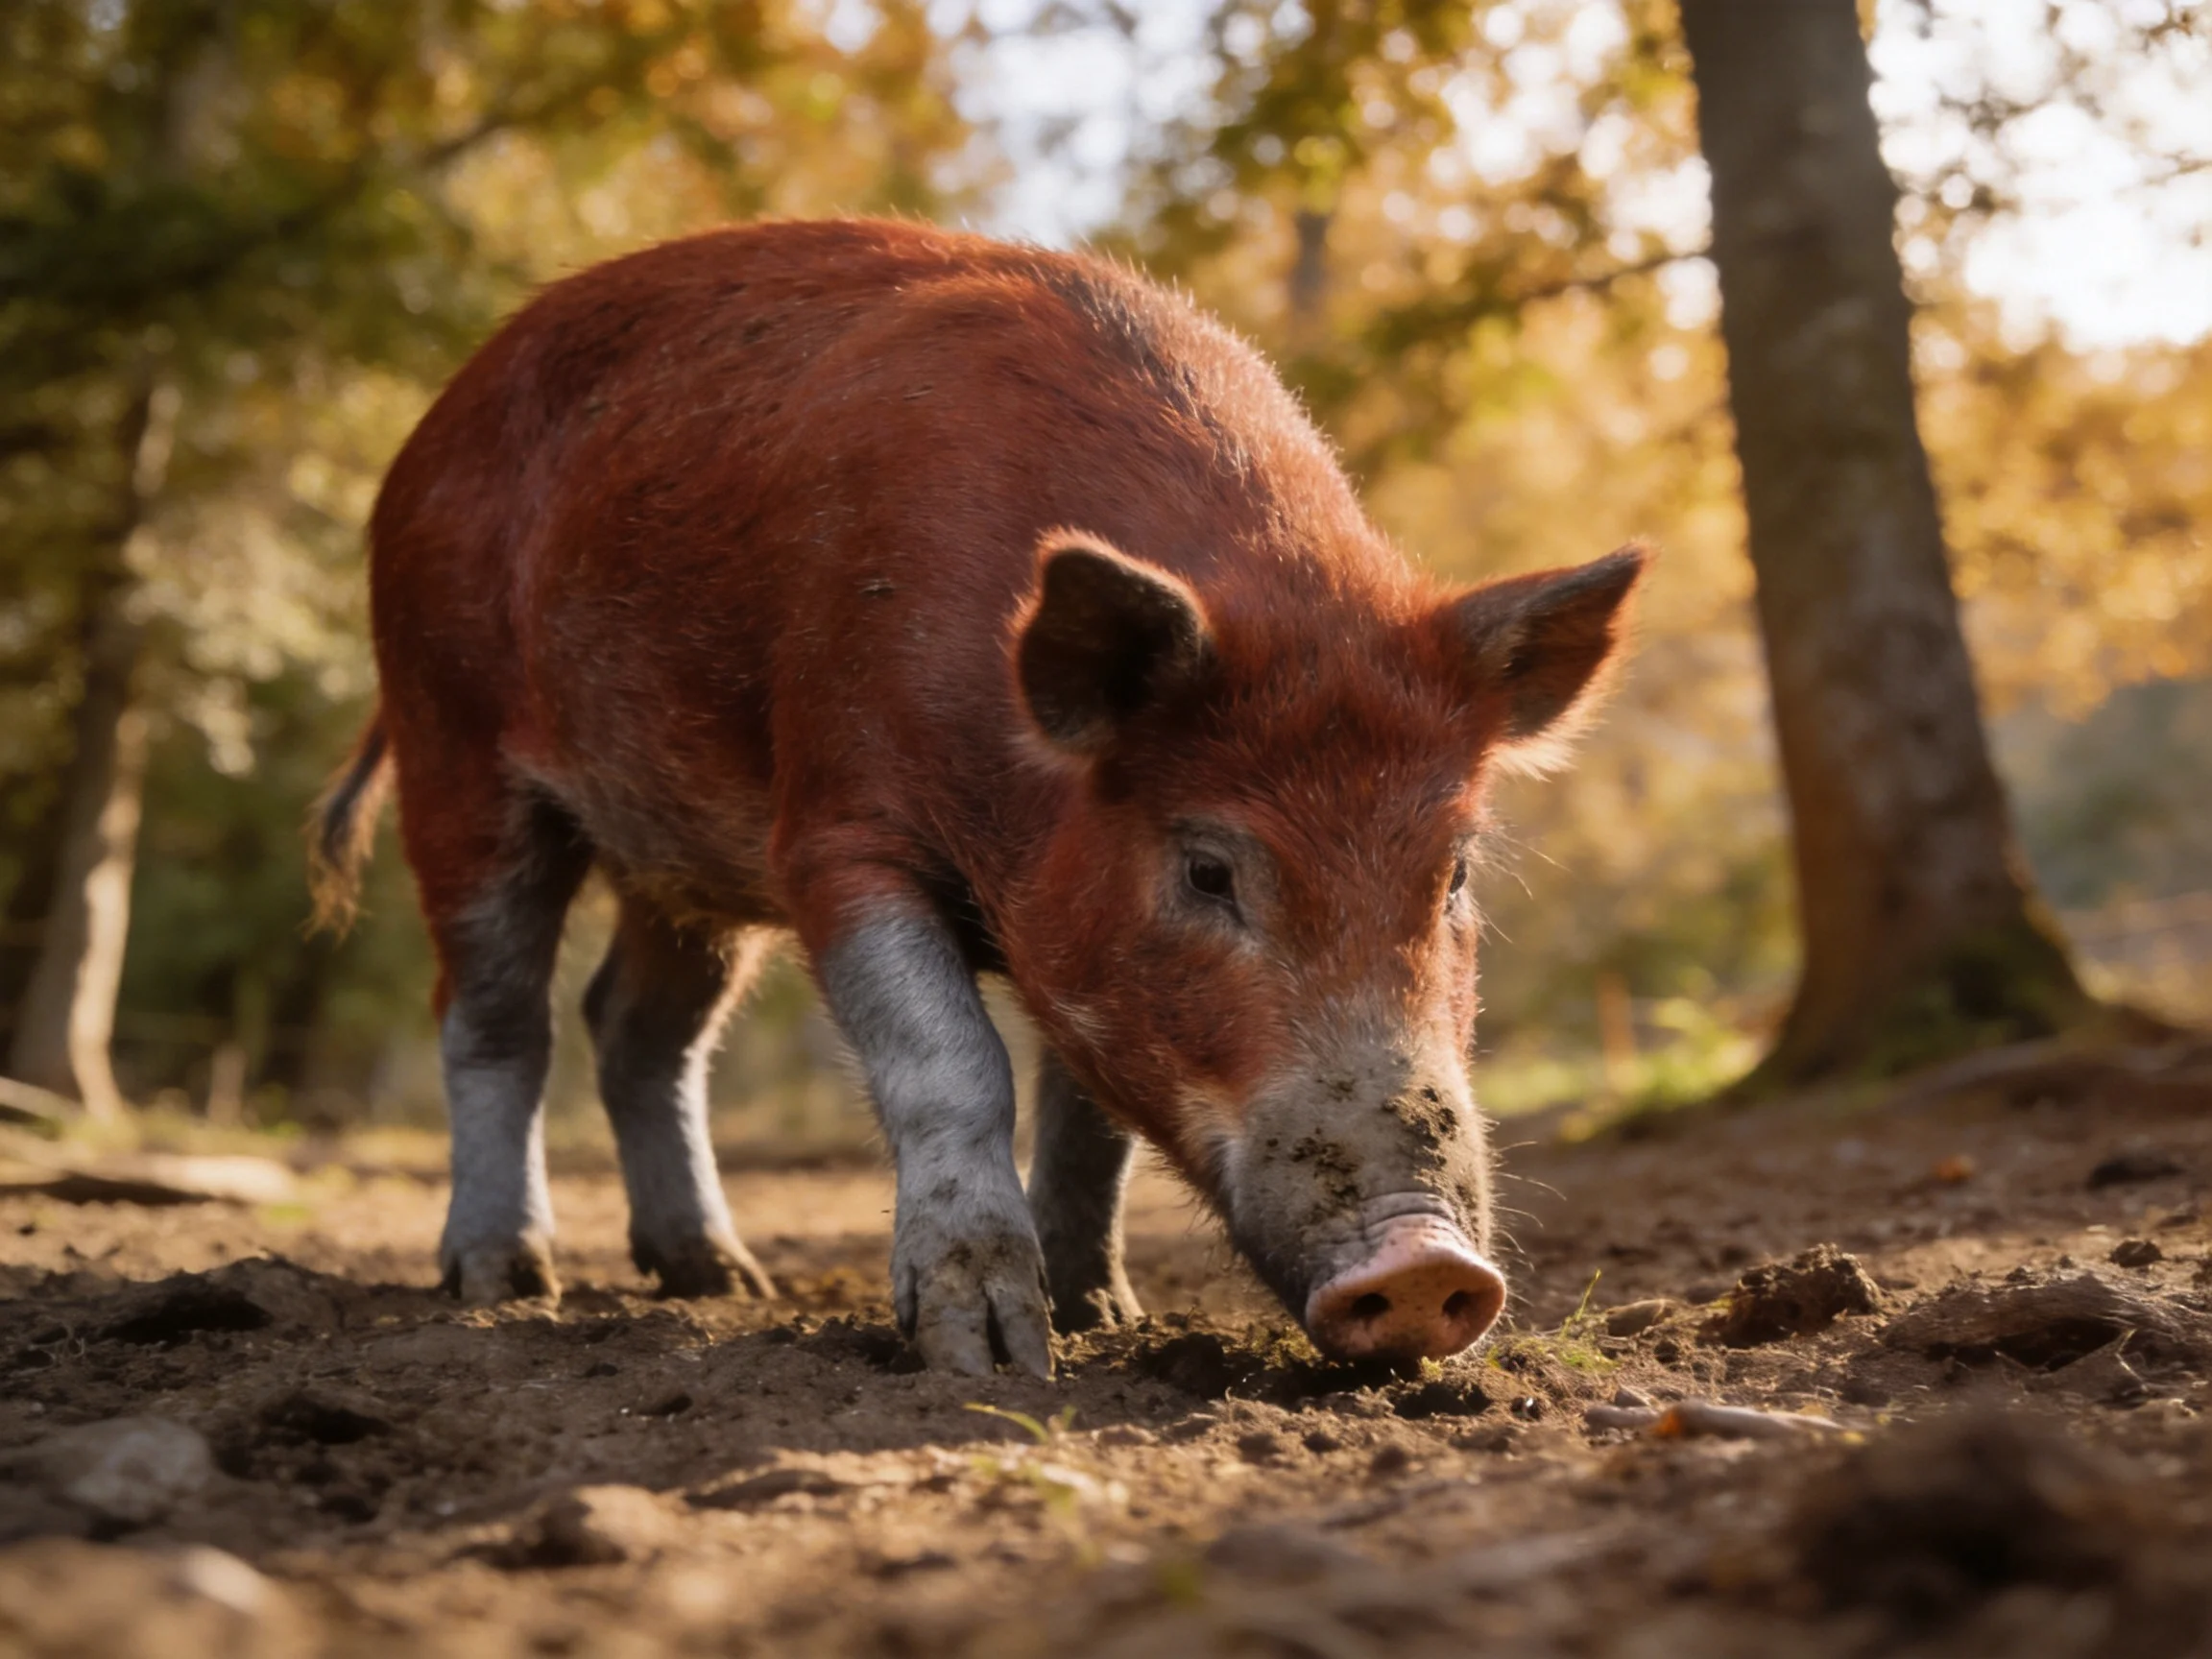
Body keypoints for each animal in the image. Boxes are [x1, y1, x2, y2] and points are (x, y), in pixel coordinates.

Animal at [310, 218, 1647, 1377]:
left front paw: (1103, 1313)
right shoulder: (836, 829)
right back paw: (502, 1282)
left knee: (640, 1026)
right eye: (1209, 869)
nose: (1426, 1268)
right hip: (452, 744)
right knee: (496, 1014)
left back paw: (721, 1280)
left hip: (679, 856)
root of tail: (422, 439)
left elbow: (1092, 1114)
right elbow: (954, 1062)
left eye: (1454, 873)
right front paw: (992, 1355)